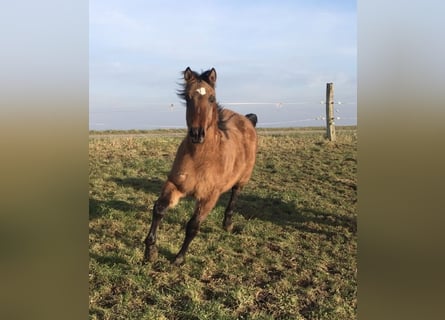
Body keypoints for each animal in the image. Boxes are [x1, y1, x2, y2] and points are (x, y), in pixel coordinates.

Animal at [144, 67, 258, 264]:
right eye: (188, 97)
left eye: (212, 98)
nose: (197, 134)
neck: (200, 158)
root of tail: (247, 120)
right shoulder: (175, 184)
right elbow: (159, 209)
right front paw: (150, 250)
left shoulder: (208, 197)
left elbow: (193, 226)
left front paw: (179, 259)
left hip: (242, 179)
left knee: (234, 197)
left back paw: (228, 224)